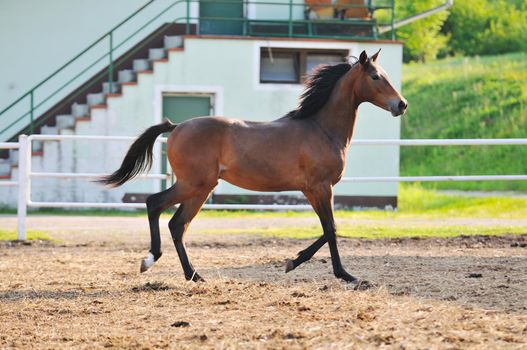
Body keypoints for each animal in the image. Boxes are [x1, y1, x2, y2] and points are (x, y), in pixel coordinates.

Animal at [102, 48, 408, 284]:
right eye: (375, 77)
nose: (401, 105)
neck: (321, 128)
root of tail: (177, 126)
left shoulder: (314, 191)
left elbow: (327, 229)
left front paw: (293, 261)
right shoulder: (320, 188)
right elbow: (331, 229)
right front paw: (344, 274)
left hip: (201, 188)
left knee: (178, 225)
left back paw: (194, 275)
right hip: (194, 184)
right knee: (155, 204)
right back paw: (150, 260)